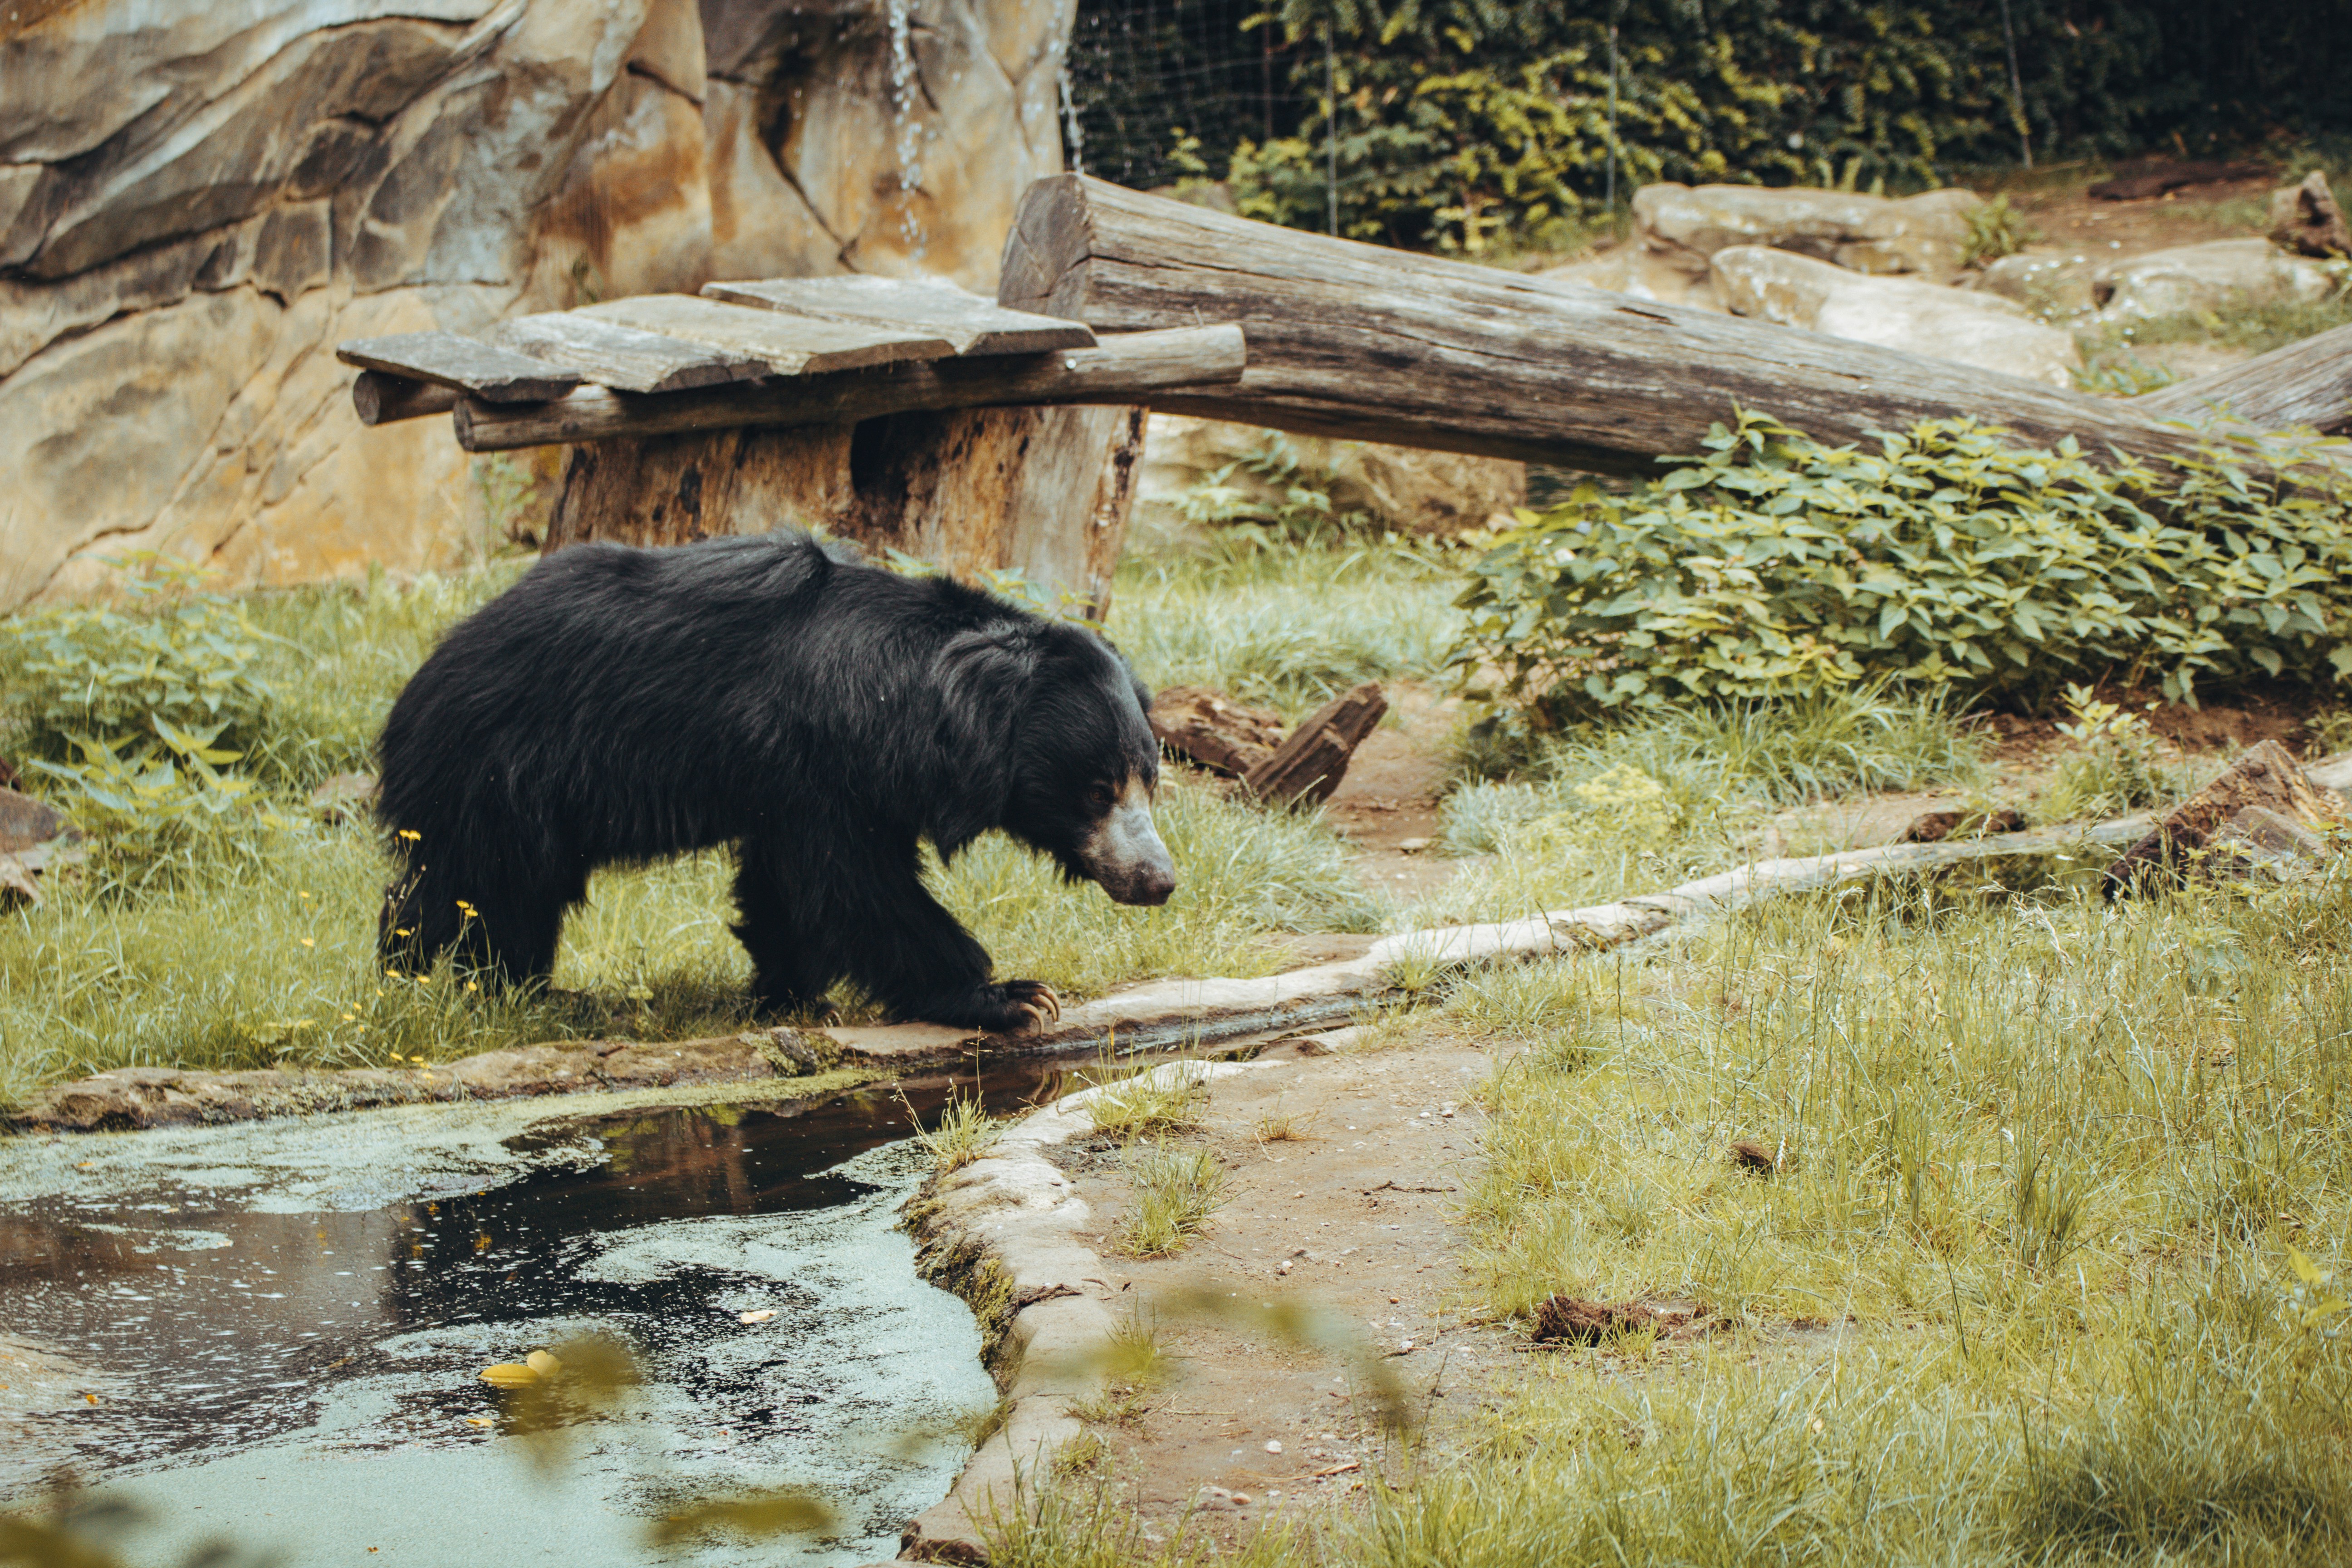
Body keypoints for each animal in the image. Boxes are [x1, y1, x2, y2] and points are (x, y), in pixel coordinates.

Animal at [373, 531, 1175, 1031]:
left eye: (1149, 779)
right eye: (1097, 790)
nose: (1159, 881)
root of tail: (425, 674)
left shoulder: (819, 783)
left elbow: (784, 891)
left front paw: (789, 998)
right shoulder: (819, 762)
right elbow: (853, 886)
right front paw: (1013, 996)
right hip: (502, 773)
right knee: (485, 891)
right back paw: (470, 989)